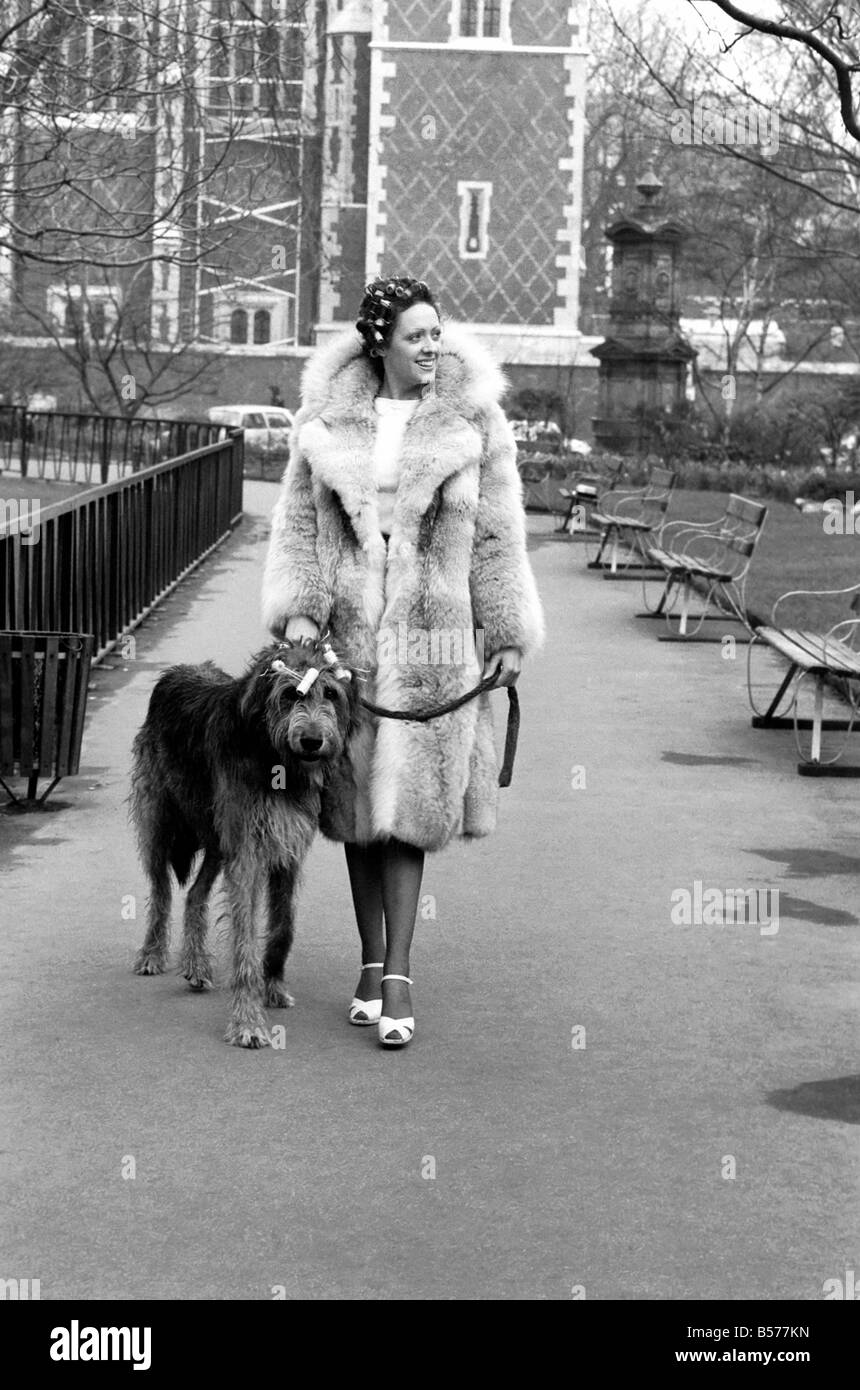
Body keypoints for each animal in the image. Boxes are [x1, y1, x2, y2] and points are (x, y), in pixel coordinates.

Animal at [129, 636, 358, 1045]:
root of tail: (177, 671)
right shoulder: (247, 854)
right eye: (289, 695)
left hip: (218, 838)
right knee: (161, 890)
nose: (312, 741)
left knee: (195, 894)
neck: (274, 756)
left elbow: (283, 927)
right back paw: (152, 954)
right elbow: (245, 938)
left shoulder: (288, 849)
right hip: (159, 818)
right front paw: (247, 1022)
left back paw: (196, 965)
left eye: (331, 693)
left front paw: (273, 989)